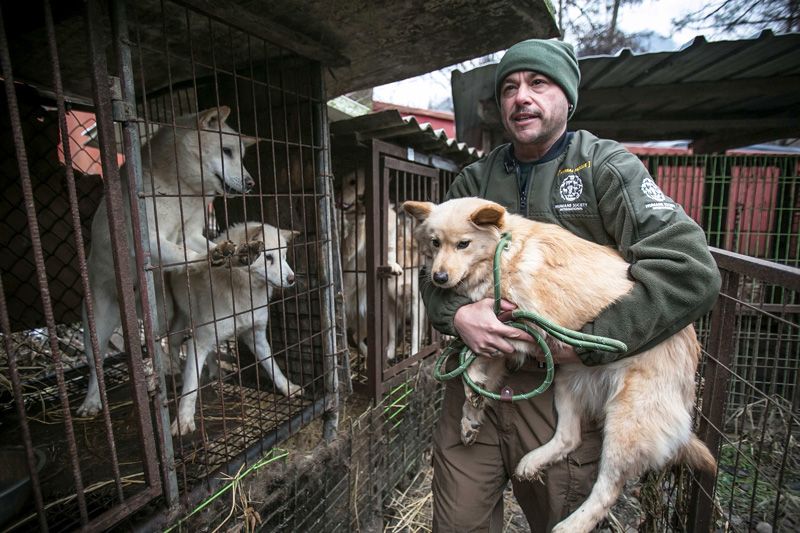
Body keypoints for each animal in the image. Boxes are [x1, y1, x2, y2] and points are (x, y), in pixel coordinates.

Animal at [78, 107, 256, 416]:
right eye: (227, 151)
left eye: (241, 155)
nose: (250, 184)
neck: (182, 188)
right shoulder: (149, 240)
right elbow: (185, 254)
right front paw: (210, 257)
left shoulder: (192, 232)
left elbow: (204, 245)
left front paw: (235, 253)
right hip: (97, 327)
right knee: (96, 366)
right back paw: (92, 402)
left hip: (163, 311)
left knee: (162, 343)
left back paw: (171, 369)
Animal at [168, 222, 300, 434]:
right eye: (268, 257)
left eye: (284, 256)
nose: (291, 279)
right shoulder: (199, 343)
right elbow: (191, 386)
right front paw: (183, 421)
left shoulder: (256, 336)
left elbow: (272, 366)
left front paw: (288, 388)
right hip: (176, 317)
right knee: (171, 341)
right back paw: (172, 370)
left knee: (211, 348)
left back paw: (216, 370)